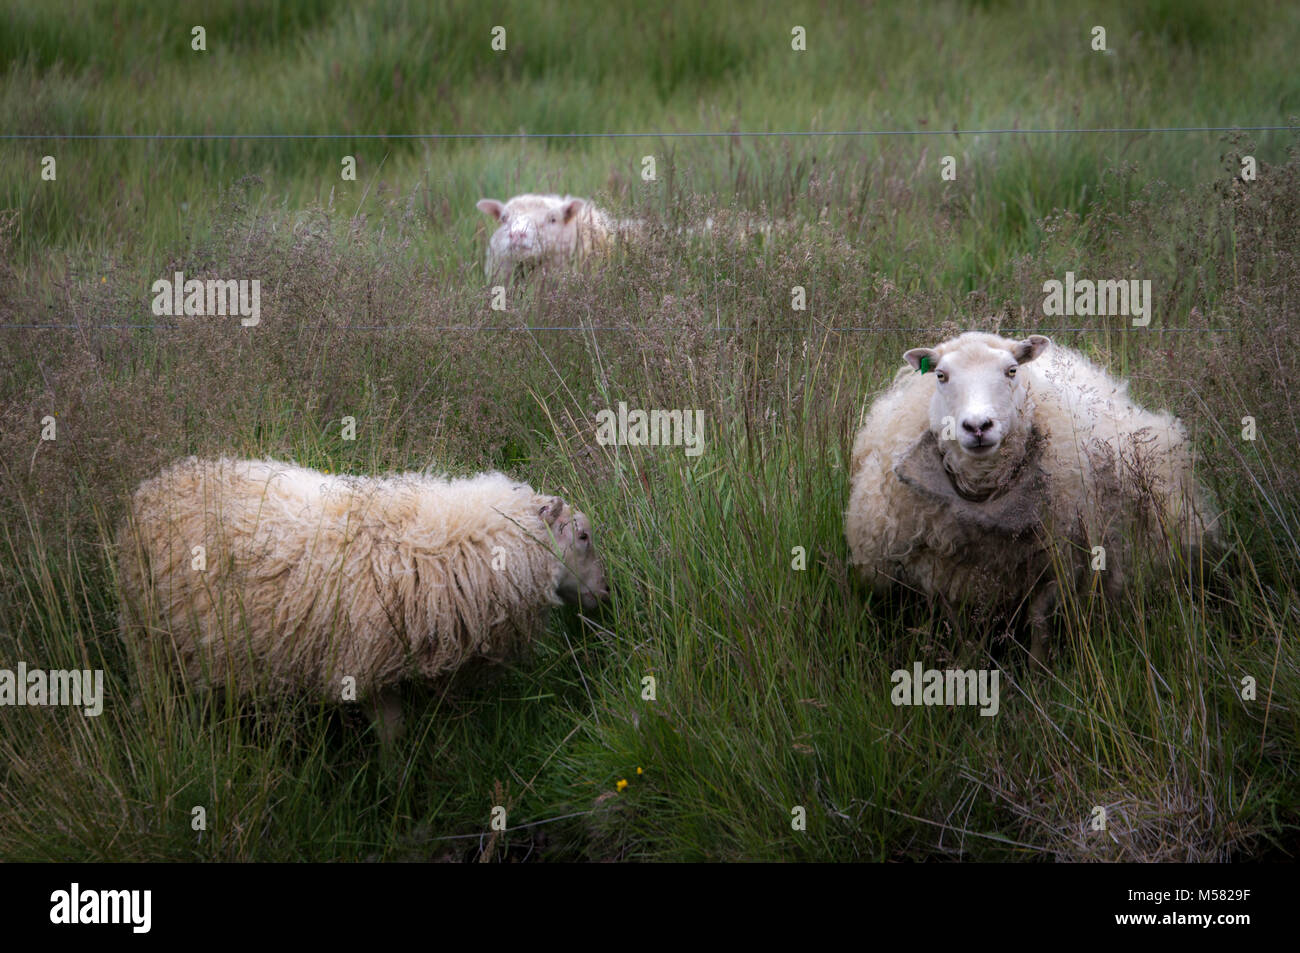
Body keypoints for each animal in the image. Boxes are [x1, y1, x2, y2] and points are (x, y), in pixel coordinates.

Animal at [117, 457, 609, 738]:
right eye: (584, 536)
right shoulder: (365, 664)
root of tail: (151, 489)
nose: (605, 593)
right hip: (148, 640)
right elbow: (393, 738)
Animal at [845, 331, 1218, 664]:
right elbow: (964, 629)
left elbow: (1039, 624)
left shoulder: (1059, 563)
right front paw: (966, 665)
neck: (986, 496)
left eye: (1011, 370)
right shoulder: (944, 569)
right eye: (941, 375)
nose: (978, 426)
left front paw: (1040, 678)